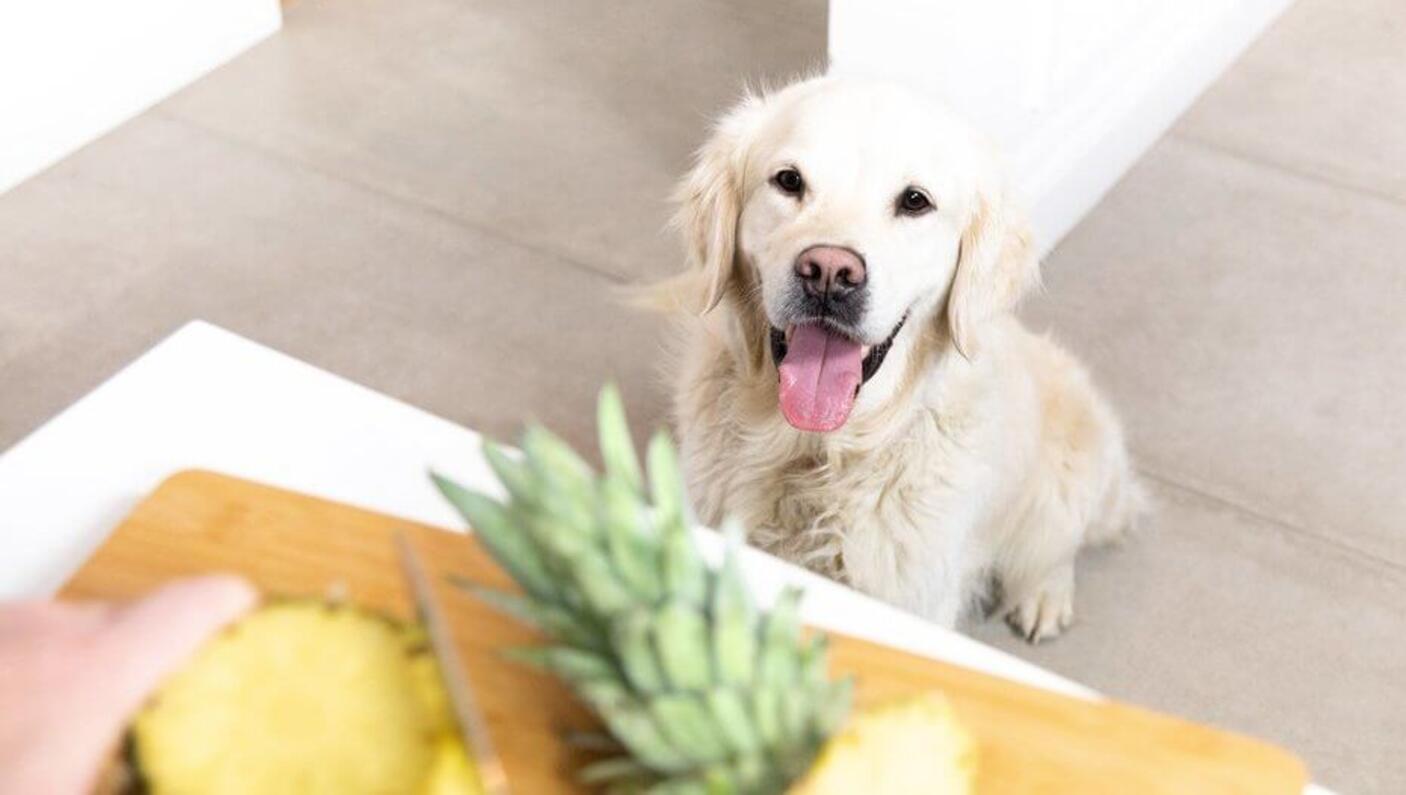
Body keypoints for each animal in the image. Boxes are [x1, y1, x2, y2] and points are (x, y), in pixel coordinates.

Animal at [655, 74, 1141, 641]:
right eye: (789, 181)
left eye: (915, 201)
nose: (828, 273)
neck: (819, 454)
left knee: (1058, 546)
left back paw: (1043, 597)